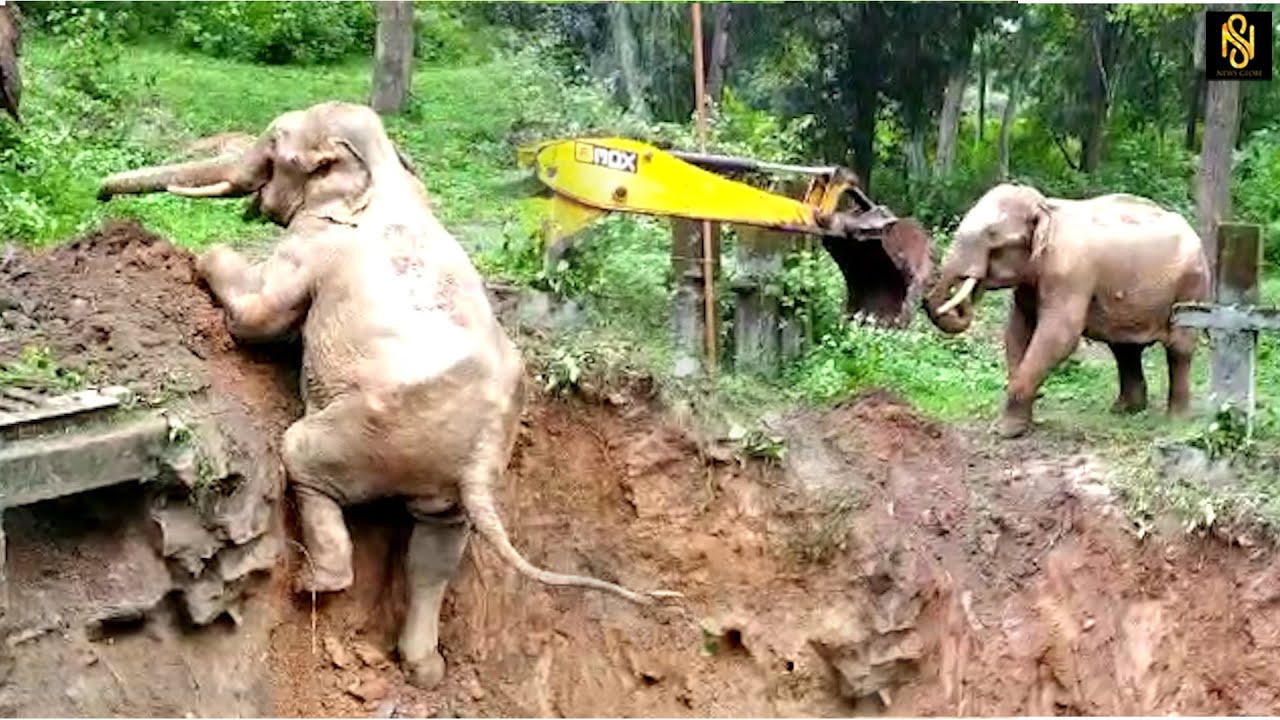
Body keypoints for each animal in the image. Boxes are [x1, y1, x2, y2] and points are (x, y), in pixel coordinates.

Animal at [97, 101, 678, 689]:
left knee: (301, 457)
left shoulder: (313, 245)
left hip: (371, 433)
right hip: (443, 480)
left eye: (277, 144)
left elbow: (259, 319)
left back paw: (315, 584)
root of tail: (480, 454)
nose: (101, 199)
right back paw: (425, 670)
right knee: (436, 551)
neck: (384, 170)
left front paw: (205, 260)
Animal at [922, 183, 1210, 438]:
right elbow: (1017, 328)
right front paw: (1019, 420)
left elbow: (1059, 335)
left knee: (1179, 347)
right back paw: (1125, 410)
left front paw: (1004, 432)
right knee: (1124, 348)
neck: (1045, 206)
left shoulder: (1071, 272)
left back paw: (1176, 421)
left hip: (1191, 285)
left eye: (992, 236)